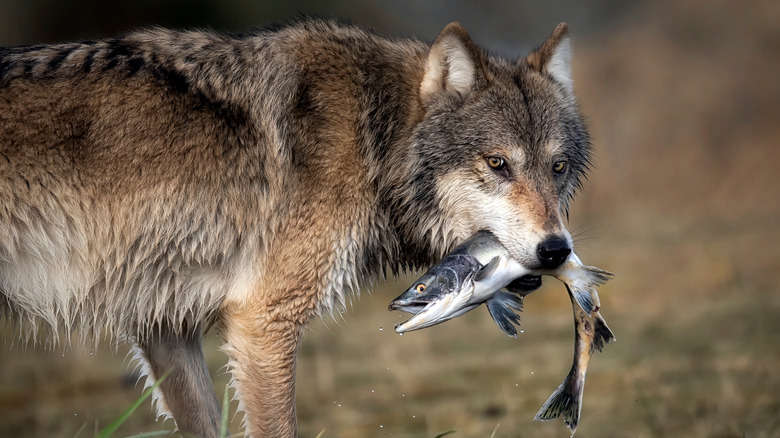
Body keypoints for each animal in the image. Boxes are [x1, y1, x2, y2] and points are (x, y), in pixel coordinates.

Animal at [0, 18, 592, 438]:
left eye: (558, 167)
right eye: (497, 164)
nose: (557, 251)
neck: (373, 140)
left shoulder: (164, 326)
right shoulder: (263, 321)